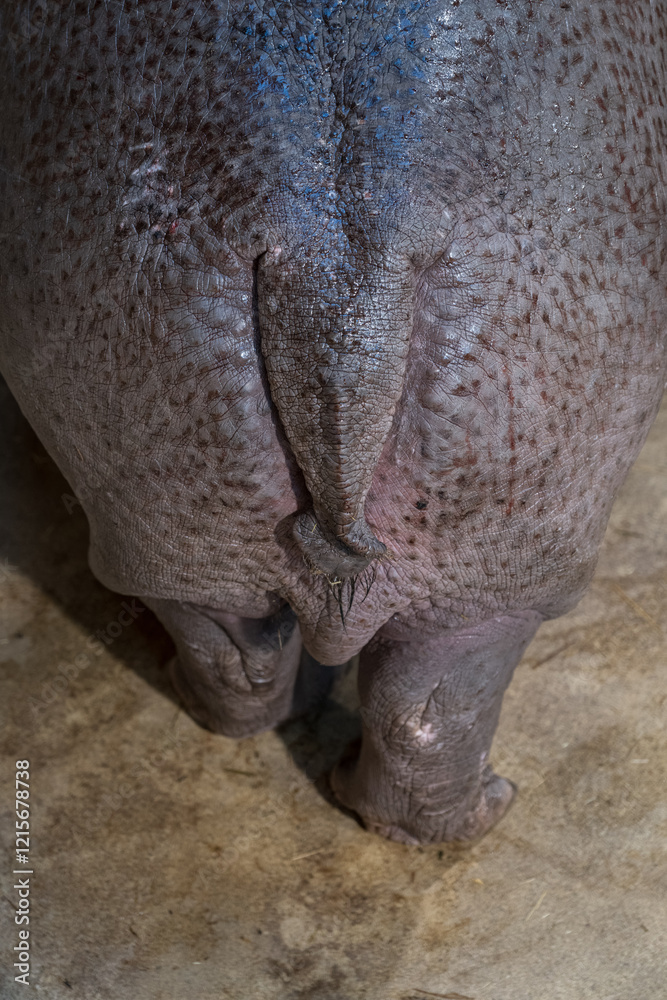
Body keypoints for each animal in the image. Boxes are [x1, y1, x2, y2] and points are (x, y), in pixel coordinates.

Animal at [1, 0, 665, 845]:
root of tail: (332, 261)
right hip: (509, 562)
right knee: (428, 712)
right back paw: (484, 811)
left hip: (170, 521)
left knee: (252, 665)